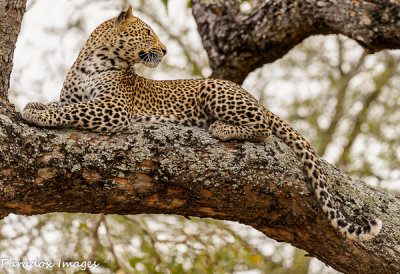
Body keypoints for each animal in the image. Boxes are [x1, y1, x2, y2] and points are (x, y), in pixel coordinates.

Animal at [22, 4, 382, 240]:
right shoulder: (76, 99)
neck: (94, 60)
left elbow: (69, 112)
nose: (165, 50)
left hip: (215, 90)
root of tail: (251, 94)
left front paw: (35, 114)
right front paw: (34, 103)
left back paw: (220, 127)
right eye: (148, 31)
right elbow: (62, 105)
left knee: (262, 126)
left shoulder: (113, 108)